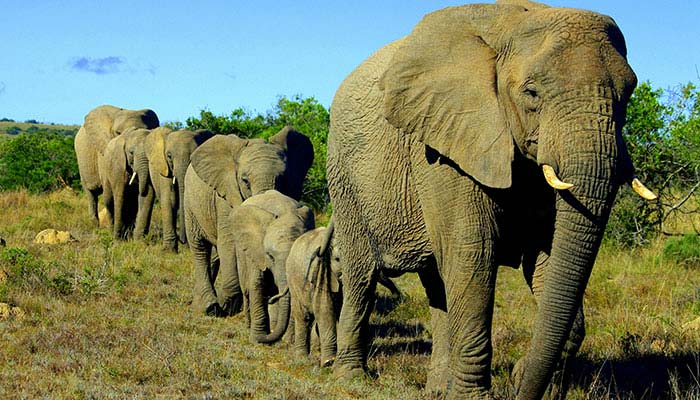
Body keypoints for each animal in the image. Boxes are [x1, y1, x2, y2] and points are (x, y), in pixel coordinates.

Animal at [184, 126, 314, 317]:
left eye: (283, 179)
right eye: (245, 181)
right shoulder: (226, 195)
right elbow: (229, 241)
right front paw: (228, 304)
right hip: (190, 203)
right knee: (199, 247)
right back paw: (208, 307)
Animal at [228, 190, 315, 343]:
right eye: (270, 256)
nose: (272, 299)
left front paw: (288, 341)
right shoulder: (257, 250)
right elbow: (257, 284)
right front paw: (256, 339)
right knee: (246, 289)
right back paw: (248, 326)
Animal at [325, 1, 657, 399]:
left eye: (628, 95)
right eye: (532, 93)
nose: (518, 380)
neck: (514, 22)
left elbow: (548, 256)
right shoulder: (445, 144)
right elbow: (474, 252)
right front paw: (479, 394)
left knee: (437, 282)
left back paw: (437, 389)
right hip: (343, 174)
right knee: (361, 275)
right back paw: (352, 379)